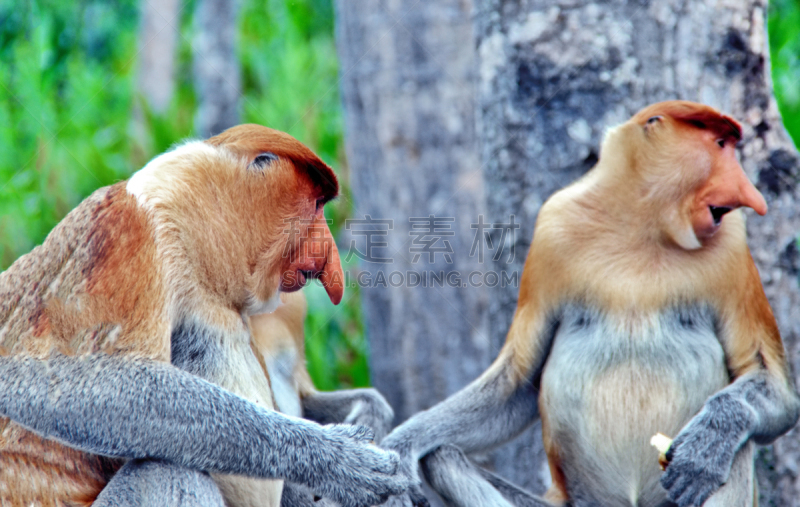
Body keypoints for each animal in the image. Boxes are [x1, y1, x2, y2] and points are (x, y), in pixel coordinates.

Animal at [380, 100, 800, 507]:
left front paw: (709, 441)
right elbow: (519, 381)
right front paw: (400, 447)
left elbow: (776, 394)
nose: (752, 196)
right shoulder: (552, 229)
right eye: (720, 145)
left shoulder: (732, 248)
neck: (644, 225)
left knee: (740, 443)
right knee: (442, 456)